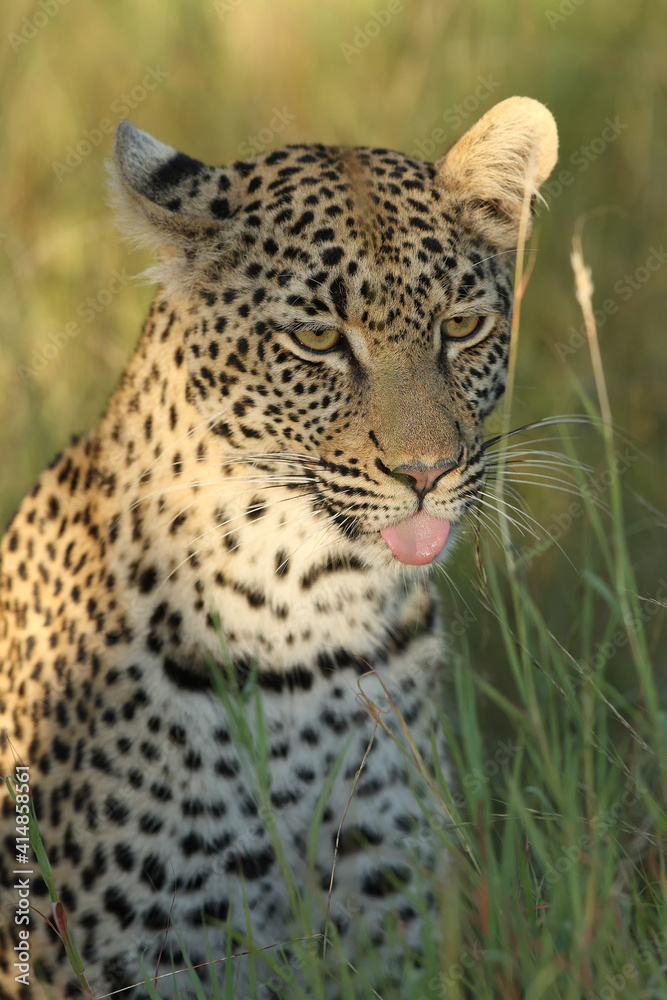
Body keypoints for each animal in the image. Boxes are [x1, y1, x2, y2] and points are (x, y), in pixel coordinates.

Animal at [0, 95, 560, 1000]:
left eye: (463, 327)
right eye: (317, 342)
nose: (426, 471)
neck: (311, 617)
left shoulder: (390, 921)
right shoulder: (119, 960)